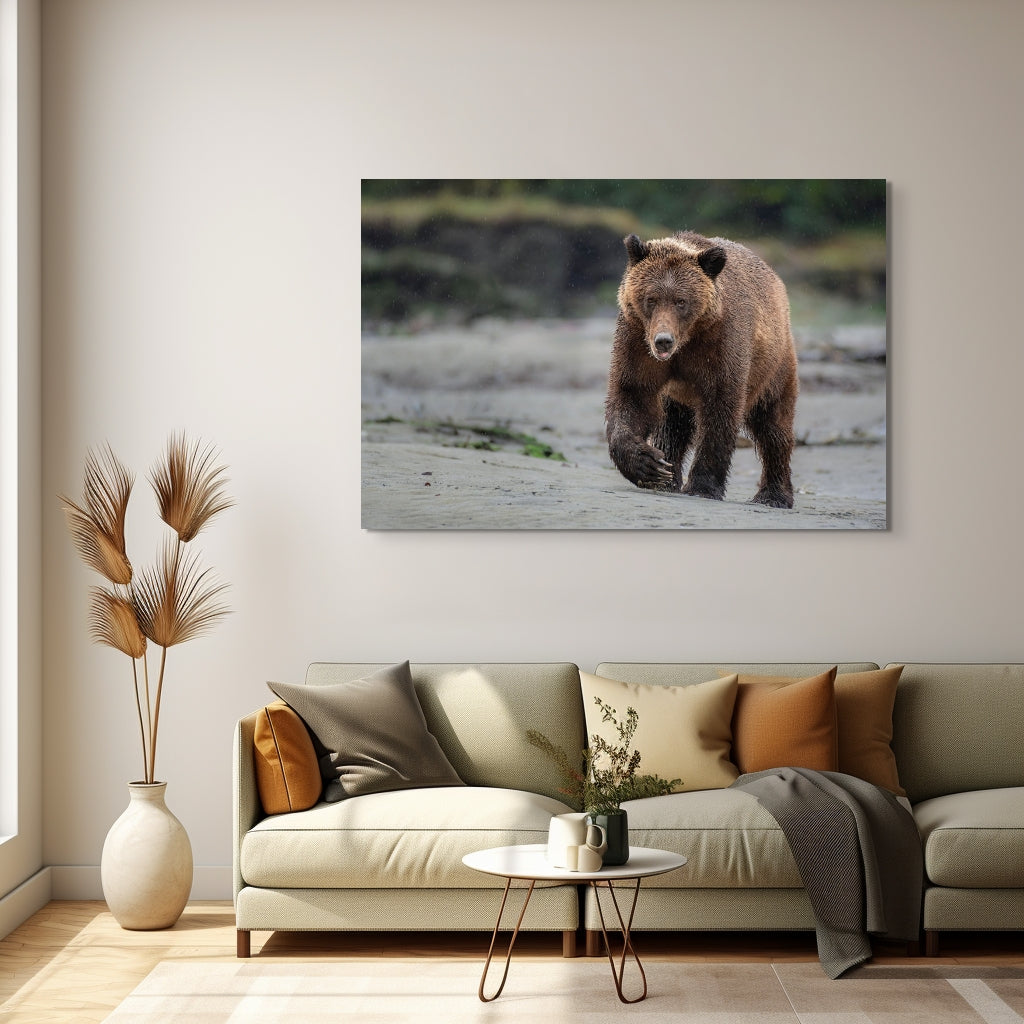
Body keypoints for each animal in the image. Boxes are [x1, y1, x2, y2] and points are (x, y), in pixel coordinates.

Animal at [606, 230, 798, 505]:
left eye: (681, 301)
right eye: (651, 299)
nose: (663, 340)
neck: (686, 341)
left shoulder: (720, 344)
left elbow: (720, 408)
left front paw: (703, 486)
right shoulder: (636, 338)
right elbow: (633, 394)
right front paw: (648, 465)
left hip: (773, 366)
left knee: (773, 425)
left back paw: (773, 495)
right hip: (677, 394)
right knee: (672, 425)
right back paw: (667, 475)